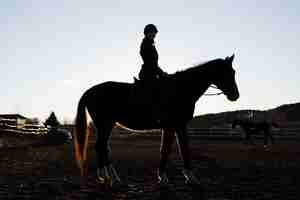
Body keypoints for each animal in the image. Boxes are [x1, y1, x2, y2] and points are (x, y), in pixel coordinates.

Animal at [72, 54, 239, 186]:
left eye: (233, 72)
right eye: (228, 72)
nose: (235, 95)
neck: (181, 89)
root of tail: (90, 91)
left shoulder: (177, 126)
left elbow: (181, 148)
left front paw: (187, 177)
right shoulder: (174, 125)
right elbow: (169, 150)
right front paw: (166, 178)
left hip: (106, 125)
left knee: (103, 147)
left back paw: (109, 177)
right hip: (105, 124)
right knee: (101, 147)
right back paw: (108, 177)